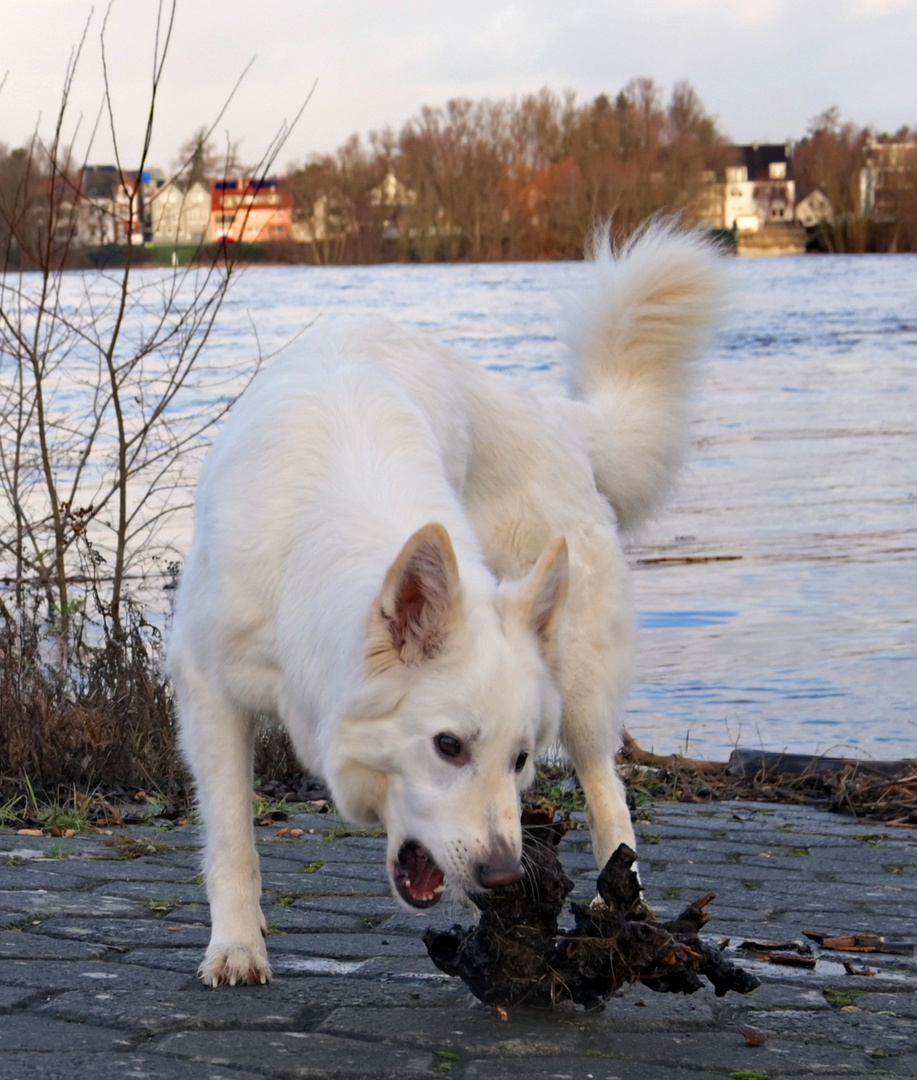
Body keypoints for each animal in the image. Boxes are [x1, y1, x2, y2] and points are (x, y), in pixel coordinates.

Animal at [168, 225, 717, 989]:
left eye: (519, 758)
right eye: (448, 747)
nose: (504, 876)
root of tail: (553, 416)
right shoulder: (209, 691)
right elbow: (231, 838)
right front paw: (239, 946)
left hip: (581, 684)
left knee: (608, 793)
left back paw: (626, 912)